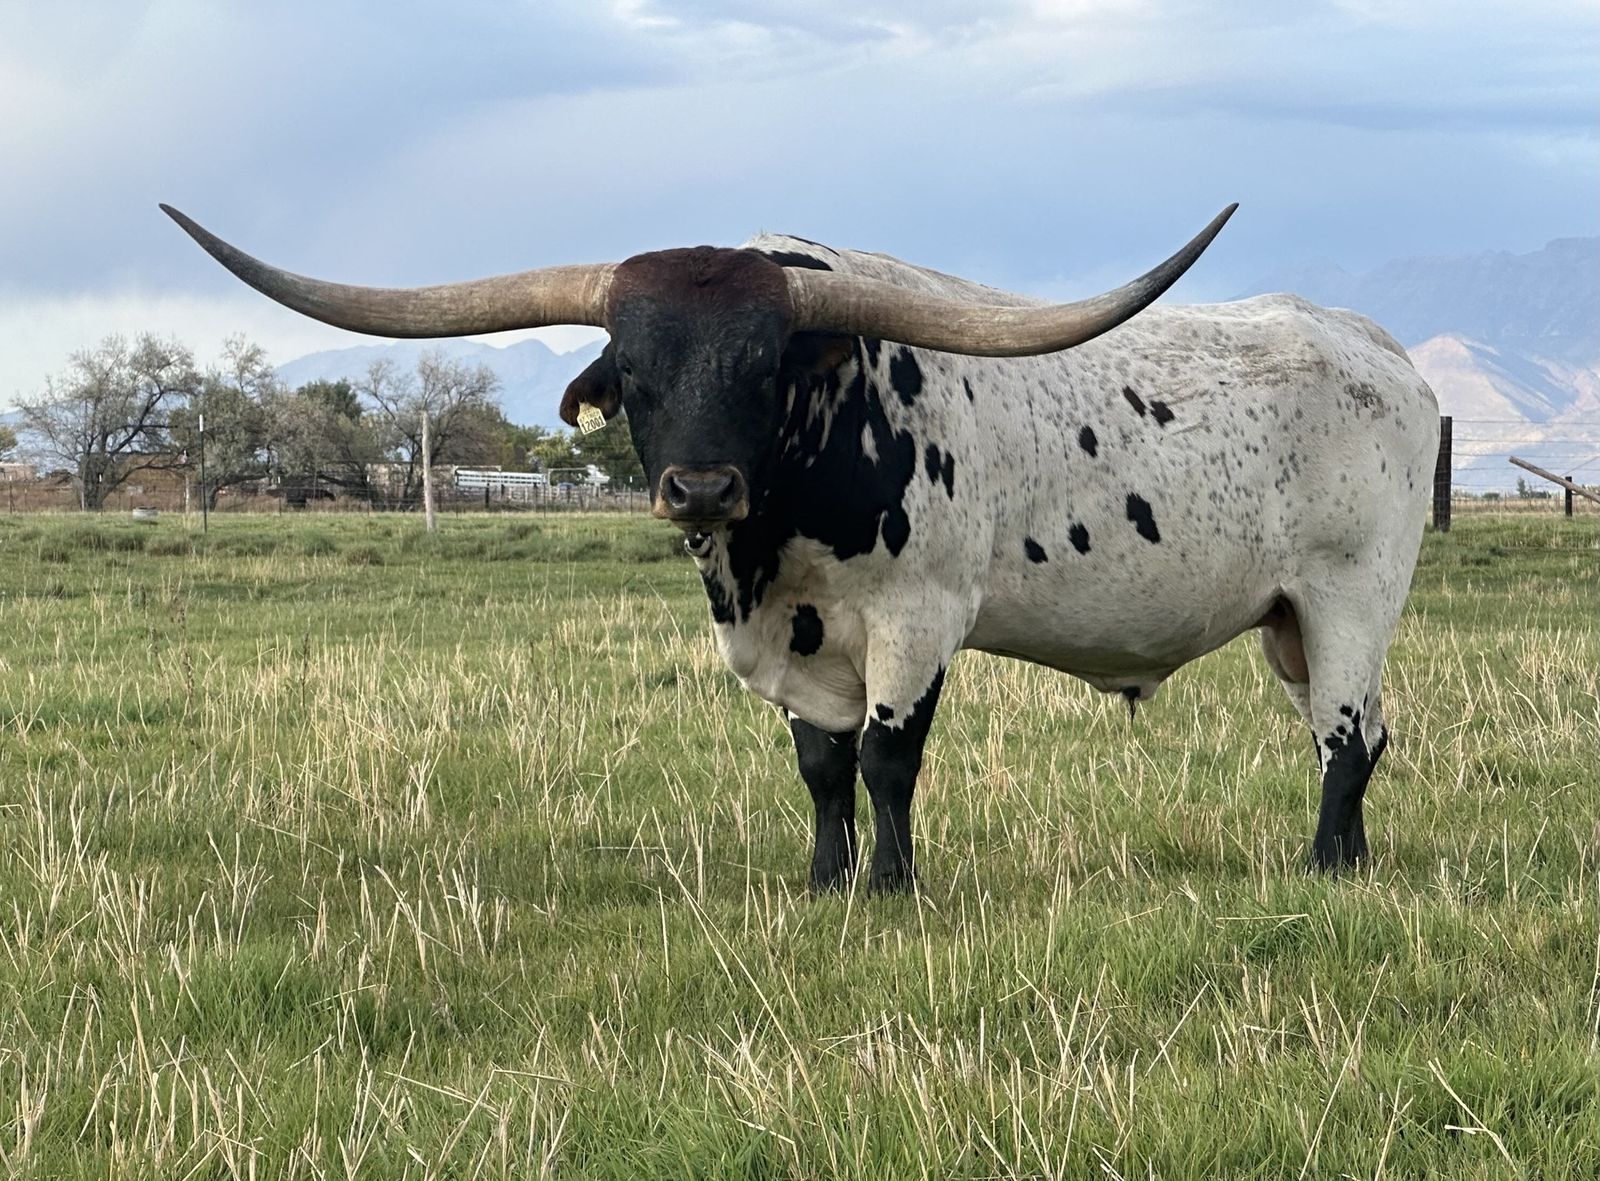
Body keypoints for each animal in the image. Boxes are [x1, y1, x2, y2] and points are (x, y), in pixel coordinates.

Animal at [162, 203, 1438, 890]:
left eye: (764, 363)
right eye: (635, 372)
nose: (699, 485)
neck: (776, 539)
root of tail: (1384, 355)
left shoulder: (918, 622)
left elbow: (884, 759)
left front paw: (889, 886)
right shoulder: (791, 640)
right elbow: (820, 767)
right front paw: (824, 882)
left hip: (1349, 596)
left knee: (1339, 741)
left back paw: (1321, 868)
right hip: (1286, 621)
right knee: (1366, 733)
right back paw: (1359, 862)